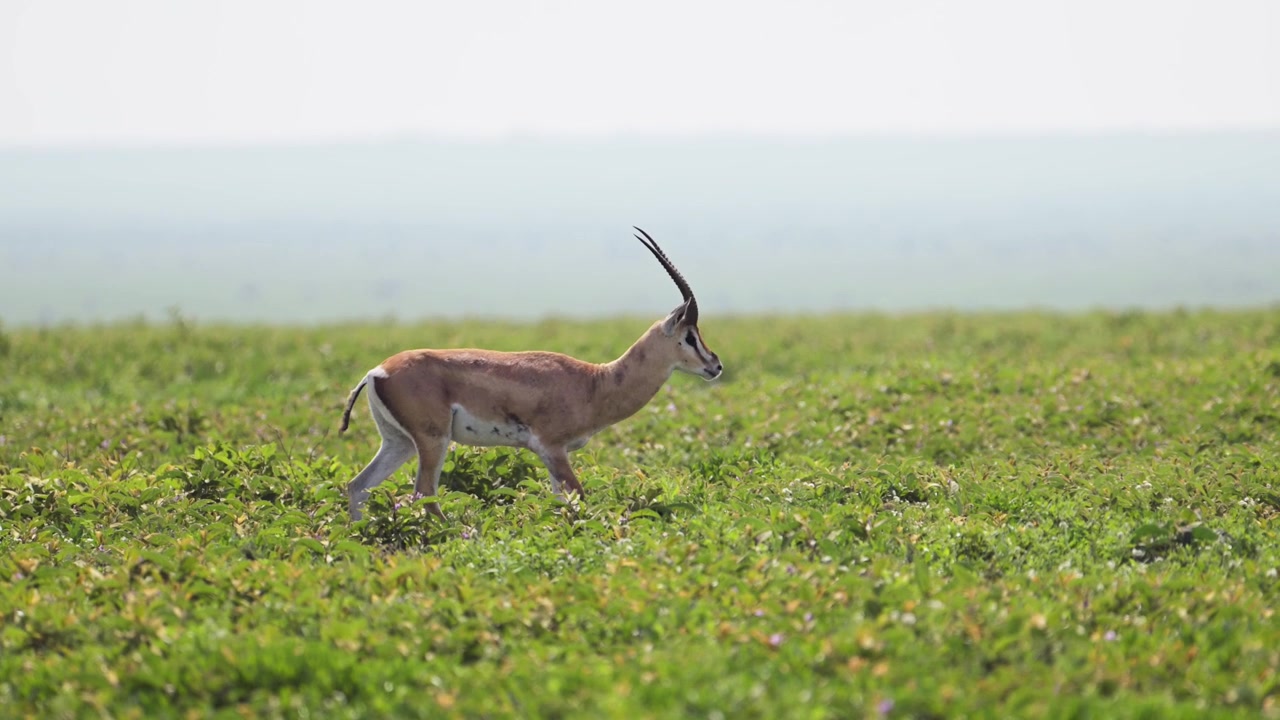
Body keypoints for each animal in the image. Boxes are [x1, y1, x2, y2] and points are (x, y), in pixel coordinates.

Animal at [339, 228, 723, 520]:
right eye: (689, 335)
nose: (715, 365)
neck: (595, 384)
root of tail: (376, 371)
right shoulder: (551, 448)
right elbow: (580, 498)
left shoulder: (554, 455)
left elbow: (561, 503)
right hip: (433, 441)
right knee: (423, 494)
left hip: (399, 442)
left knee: (358, 486)